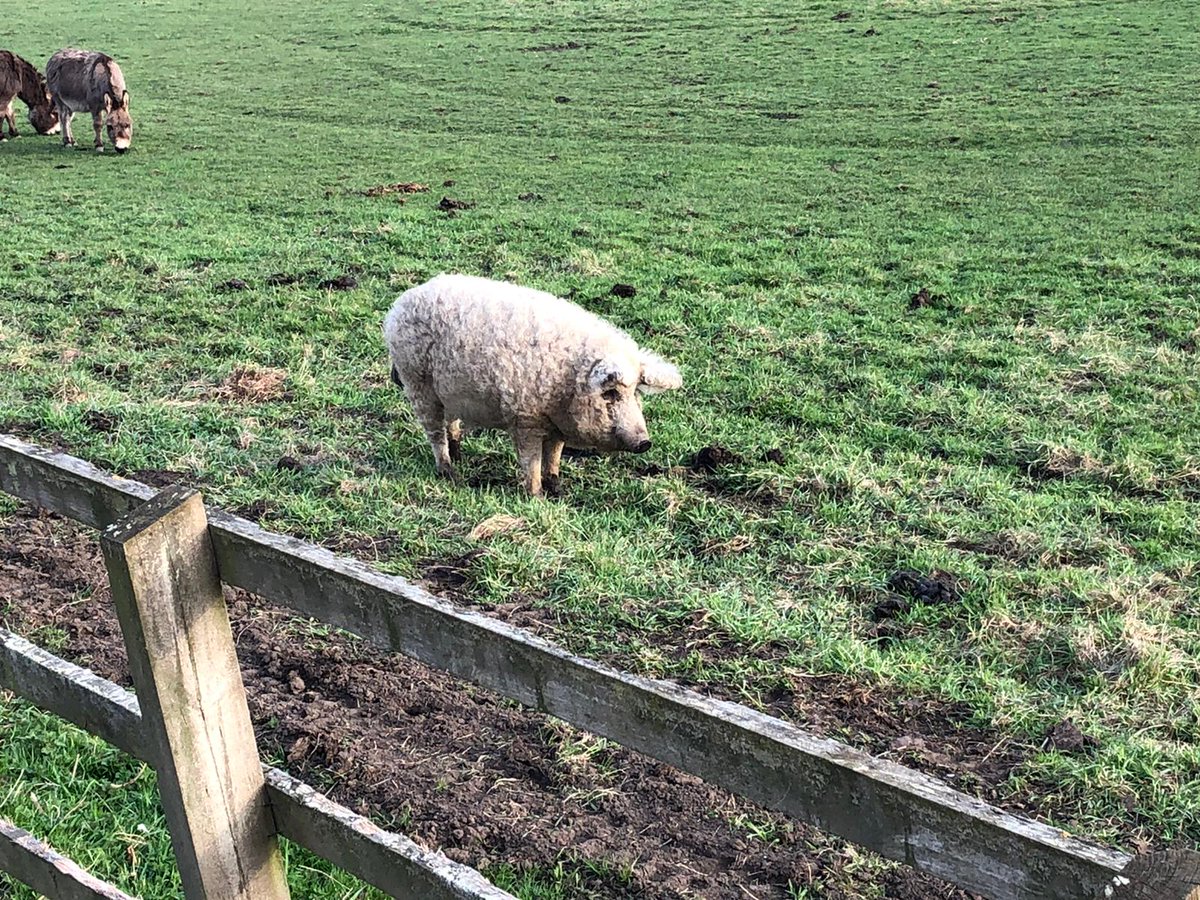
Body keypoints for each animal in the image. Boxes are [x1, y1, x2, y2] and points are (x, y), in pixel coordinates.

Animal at [383, 273, 682, 496]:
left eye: (636, 393)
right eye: (611, 393)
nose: (645, 442)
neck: (567, 383)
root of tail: (400, 304)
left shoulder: (557, 425)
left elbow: (554, 456)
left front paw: (558, 490)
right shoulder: (525, 418)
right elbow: (532, 460)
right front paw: (537, 496)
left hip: (448, 390)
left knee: (451, 422)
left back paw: (459, 456)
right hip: (418, 382)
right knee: (434, 433)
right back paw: (451, 474)